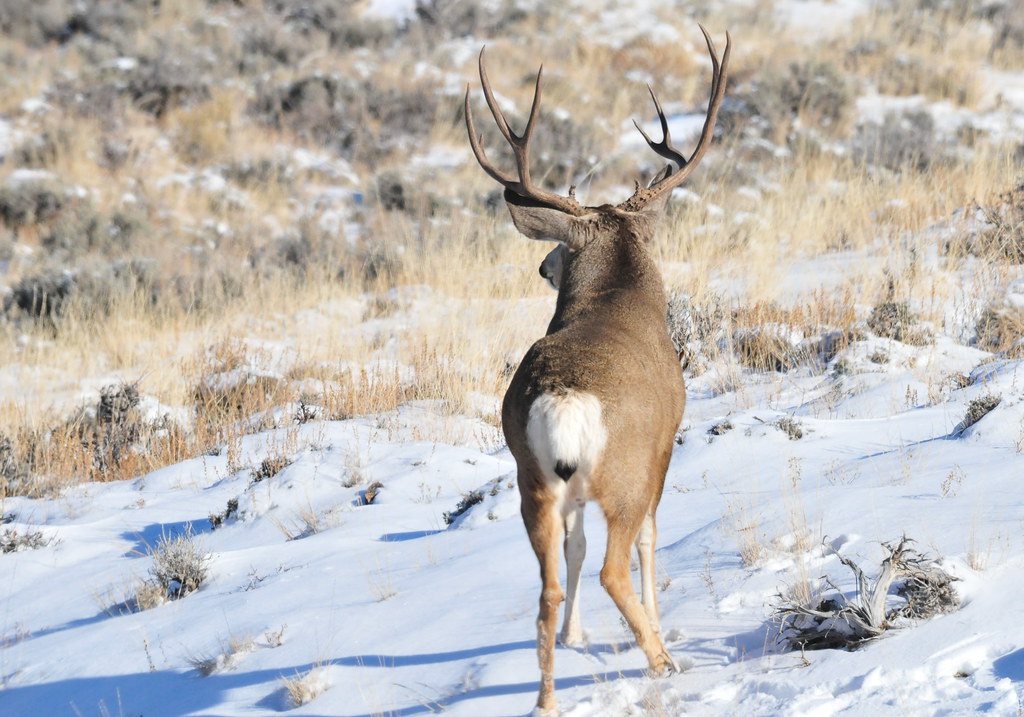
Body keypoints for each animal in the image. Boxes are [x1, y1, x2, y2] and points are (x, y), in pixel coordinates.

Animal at [464, 25, 731, 715]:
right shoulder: (664, 446)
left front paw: (577, 636)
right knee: (616, 563)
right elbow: (650, 543)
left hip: (533, 480)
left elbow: (575, 550)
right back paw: (662, 661)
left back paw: (546, 699)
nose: (542, 266)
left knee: (549, 583)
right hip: (623, 474)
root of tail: (565, 400)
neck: (616, 299)